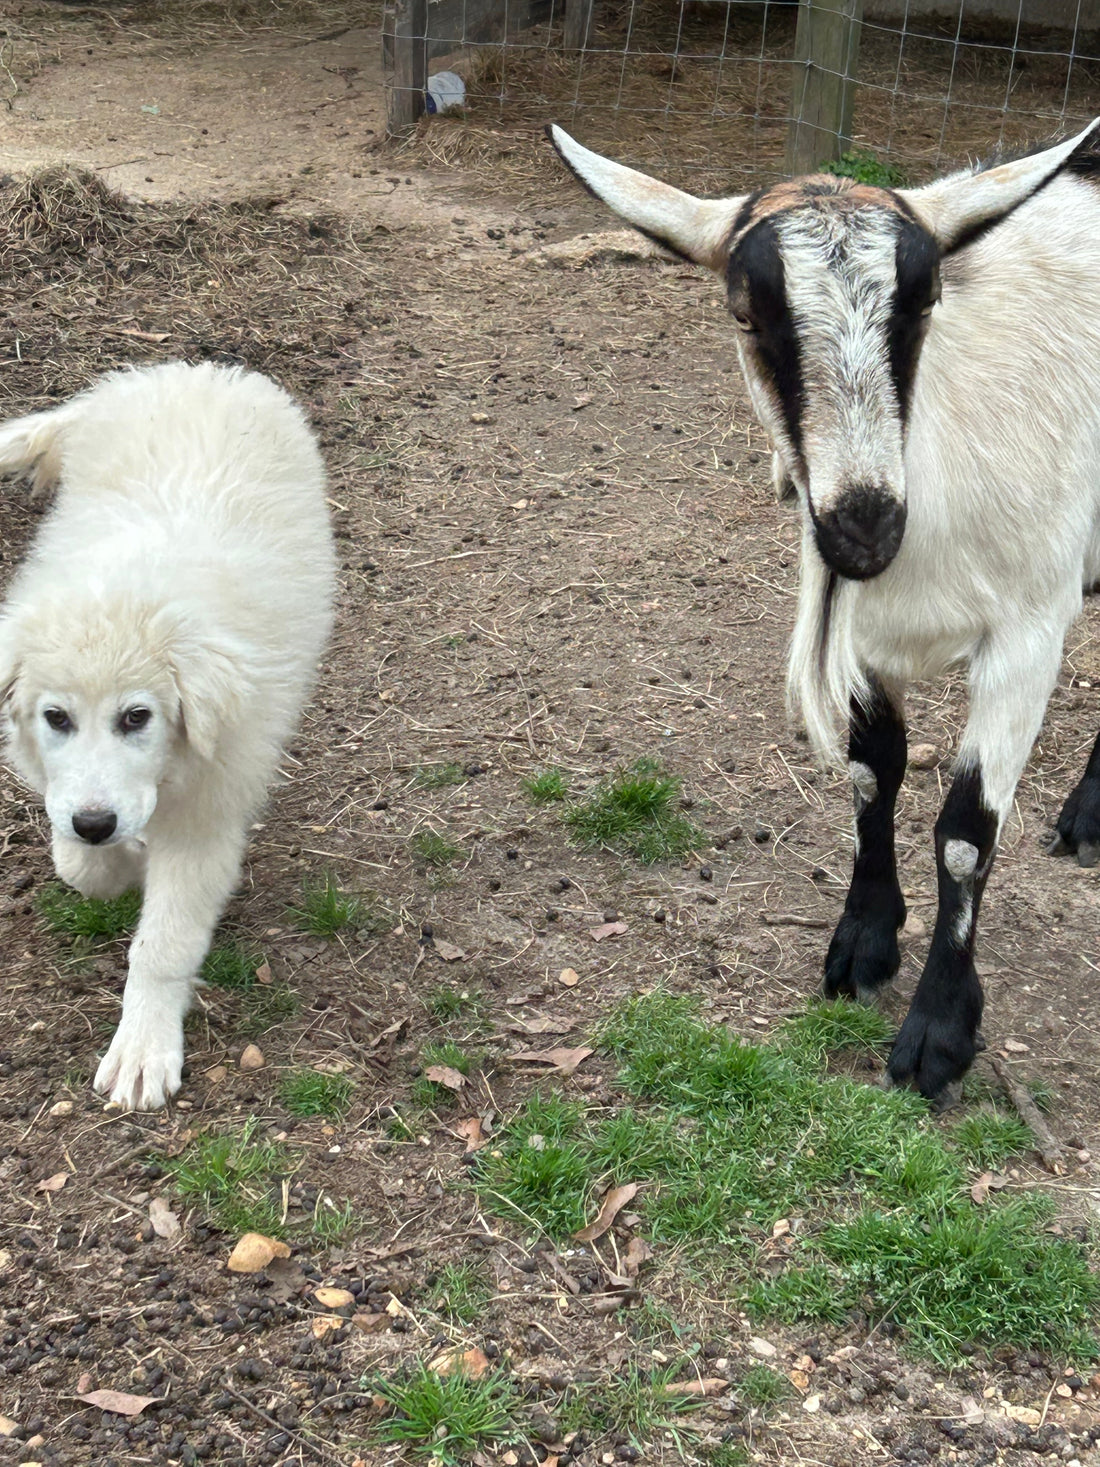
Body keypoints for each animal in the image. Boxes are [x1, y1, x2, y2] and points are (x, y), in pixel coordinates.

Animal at [549, 120, 1100, 1102]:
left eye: (925, 302)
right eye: (744, 313)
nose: (865, 525)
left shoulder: (1031, 630)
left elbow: (966, 836)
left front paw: (937, 1031)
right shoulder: (865, 635)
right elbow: (872, 773)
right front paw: (864, 941)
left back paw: (1085, 819)